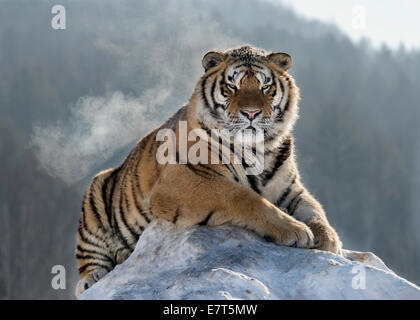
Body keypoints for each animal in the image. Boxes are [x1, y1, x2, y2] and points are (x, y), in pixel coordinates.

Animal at [76, 45, 342, 298]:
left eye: (265, 86)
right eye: (232, 86)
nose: (251, 113)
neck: (256, 149)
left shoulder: (290, 189)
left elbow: (314, 210)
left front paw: (329, 240)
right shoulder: (183, 179)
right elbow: (244, 197)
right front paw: (296, 231)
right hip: (95, 193)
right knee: (89, 260)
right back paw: (93, 277)